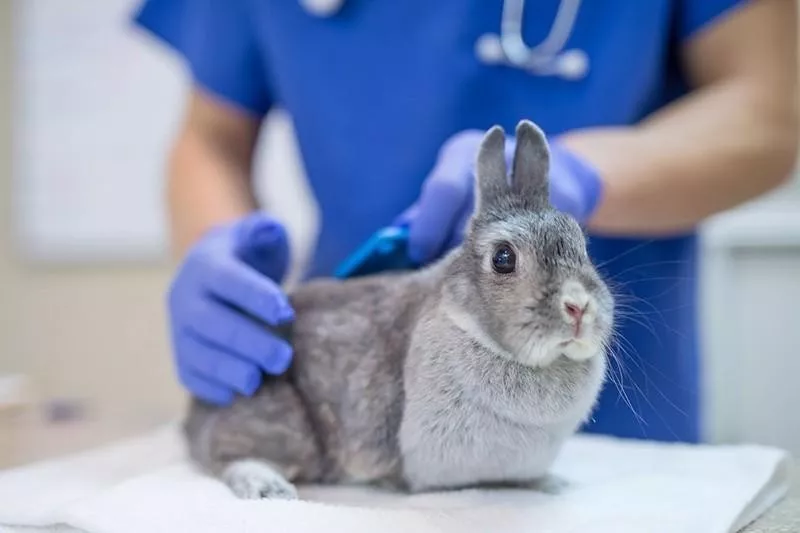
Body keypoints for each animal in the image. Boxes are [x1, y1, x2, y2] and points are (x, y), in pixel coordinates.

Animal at [184, 119, 616, 498]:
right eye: (503, 258)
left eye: (582, 246)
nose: (578, 307)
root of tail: (195, 416)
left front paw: (552, 484)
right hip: (283, 423)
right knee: (228, 457)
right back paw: (266, 486)